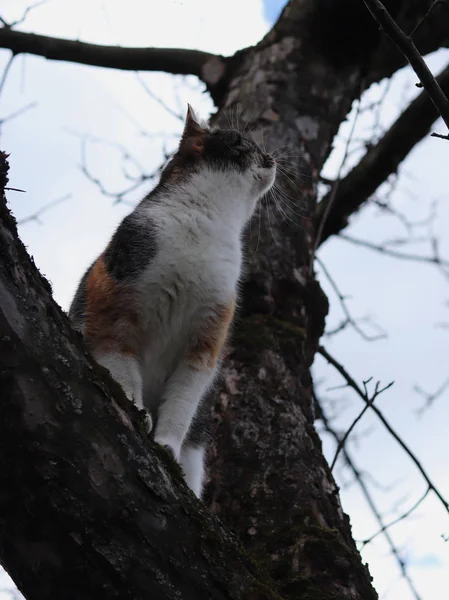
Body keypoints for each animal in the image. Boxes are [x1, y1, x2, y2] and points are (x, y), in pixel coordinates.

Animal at [69, 104, 276, 496]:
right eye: (239, 141)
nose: (272, 157)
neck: (209, 222)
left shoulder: (207, 338)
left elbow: (183, 402)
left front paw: (165, 444)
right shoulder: (111, 307)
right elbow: (120, 365)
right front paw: (134, 408)